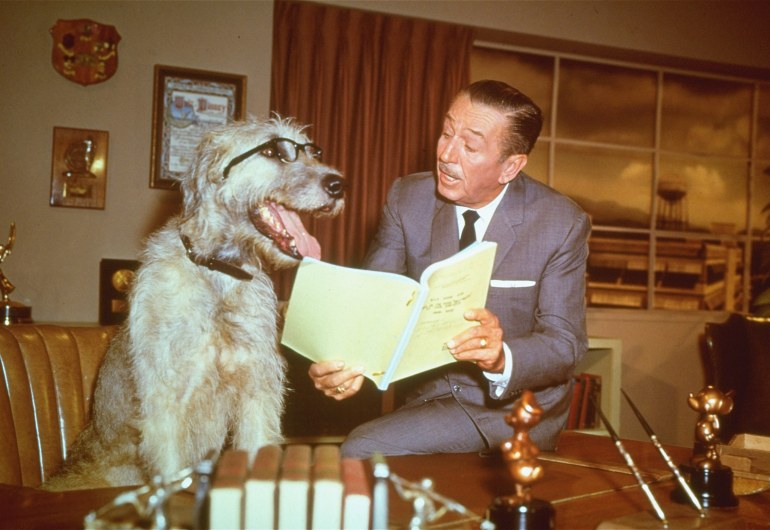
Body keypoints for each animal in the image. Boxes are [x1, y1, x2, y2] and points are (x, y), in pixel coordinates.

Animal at [43, 115, 340, 486]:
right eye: (273, 150)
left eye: (315, 152)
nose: (338, 184)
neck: (218, 274)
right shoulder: (166, 399)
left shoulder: (256, 390)